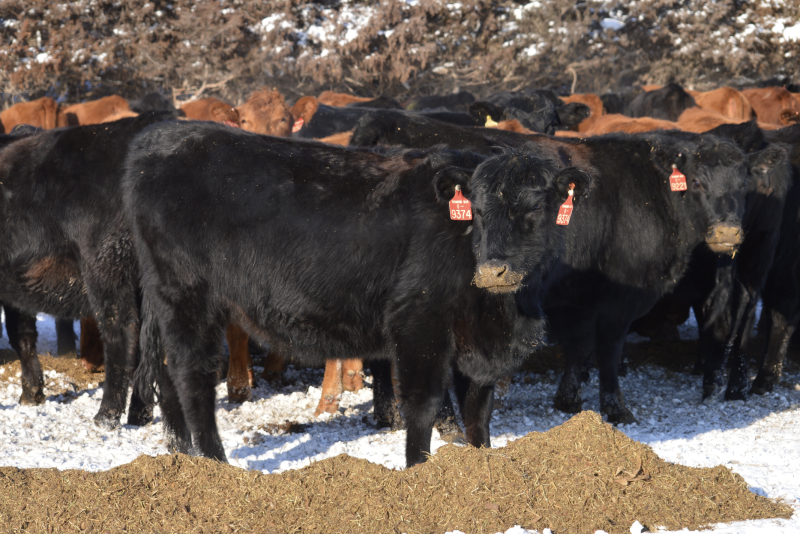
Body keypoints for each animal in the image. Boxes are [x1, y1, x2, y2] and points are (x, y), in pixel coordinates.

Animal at [0, 111, 181, 426]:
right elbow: (22, 333)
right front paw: (32, 393)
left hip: (104, 268)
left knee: (120, 332)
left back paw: (107, 414)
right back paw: (139, 413)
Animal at [123, 122, 562, 466]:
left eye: (536, 210)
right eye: (479, 210)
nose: (493, 270)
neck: (504, 315)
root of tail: (161, 135)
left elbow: (478, 410)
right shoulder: (418, 320)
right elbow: (423, 405)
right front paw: (419, 470)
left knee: (166, 371)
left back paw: (183, 457)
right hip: (186, 295)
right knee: (191, 374)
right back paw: (215, 463)